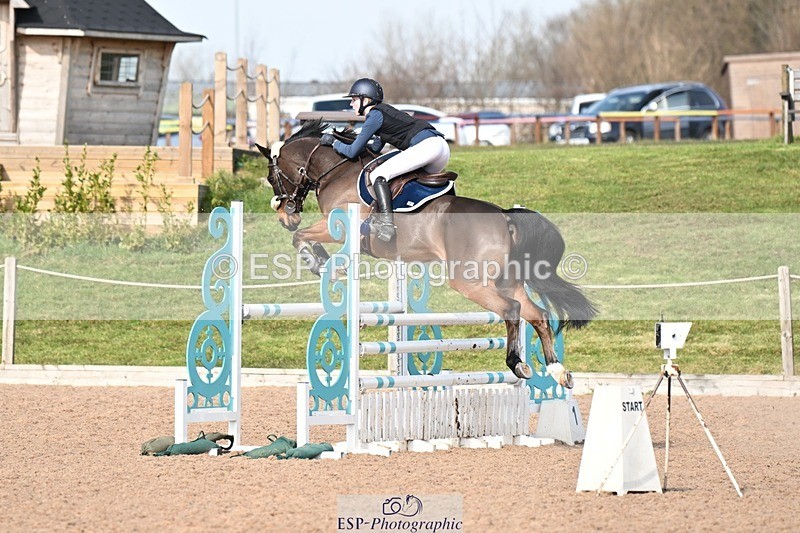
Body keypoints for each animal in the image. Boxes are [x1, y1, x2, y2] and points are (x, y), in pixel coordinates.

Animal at [255, 120, 597, 388]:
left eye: (272, 177)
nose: (286, 216)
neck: (336, 171)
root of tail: (505, 216)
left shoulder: (337, 226)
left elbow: (302, 238)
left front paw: (320, 262)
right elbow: (307, 239)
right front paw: (324, 261)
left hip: (469, 281)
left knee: (511, 310)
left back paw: (517, 363)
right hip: (507, 281)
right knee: (537, 314)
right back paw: (557, 370)